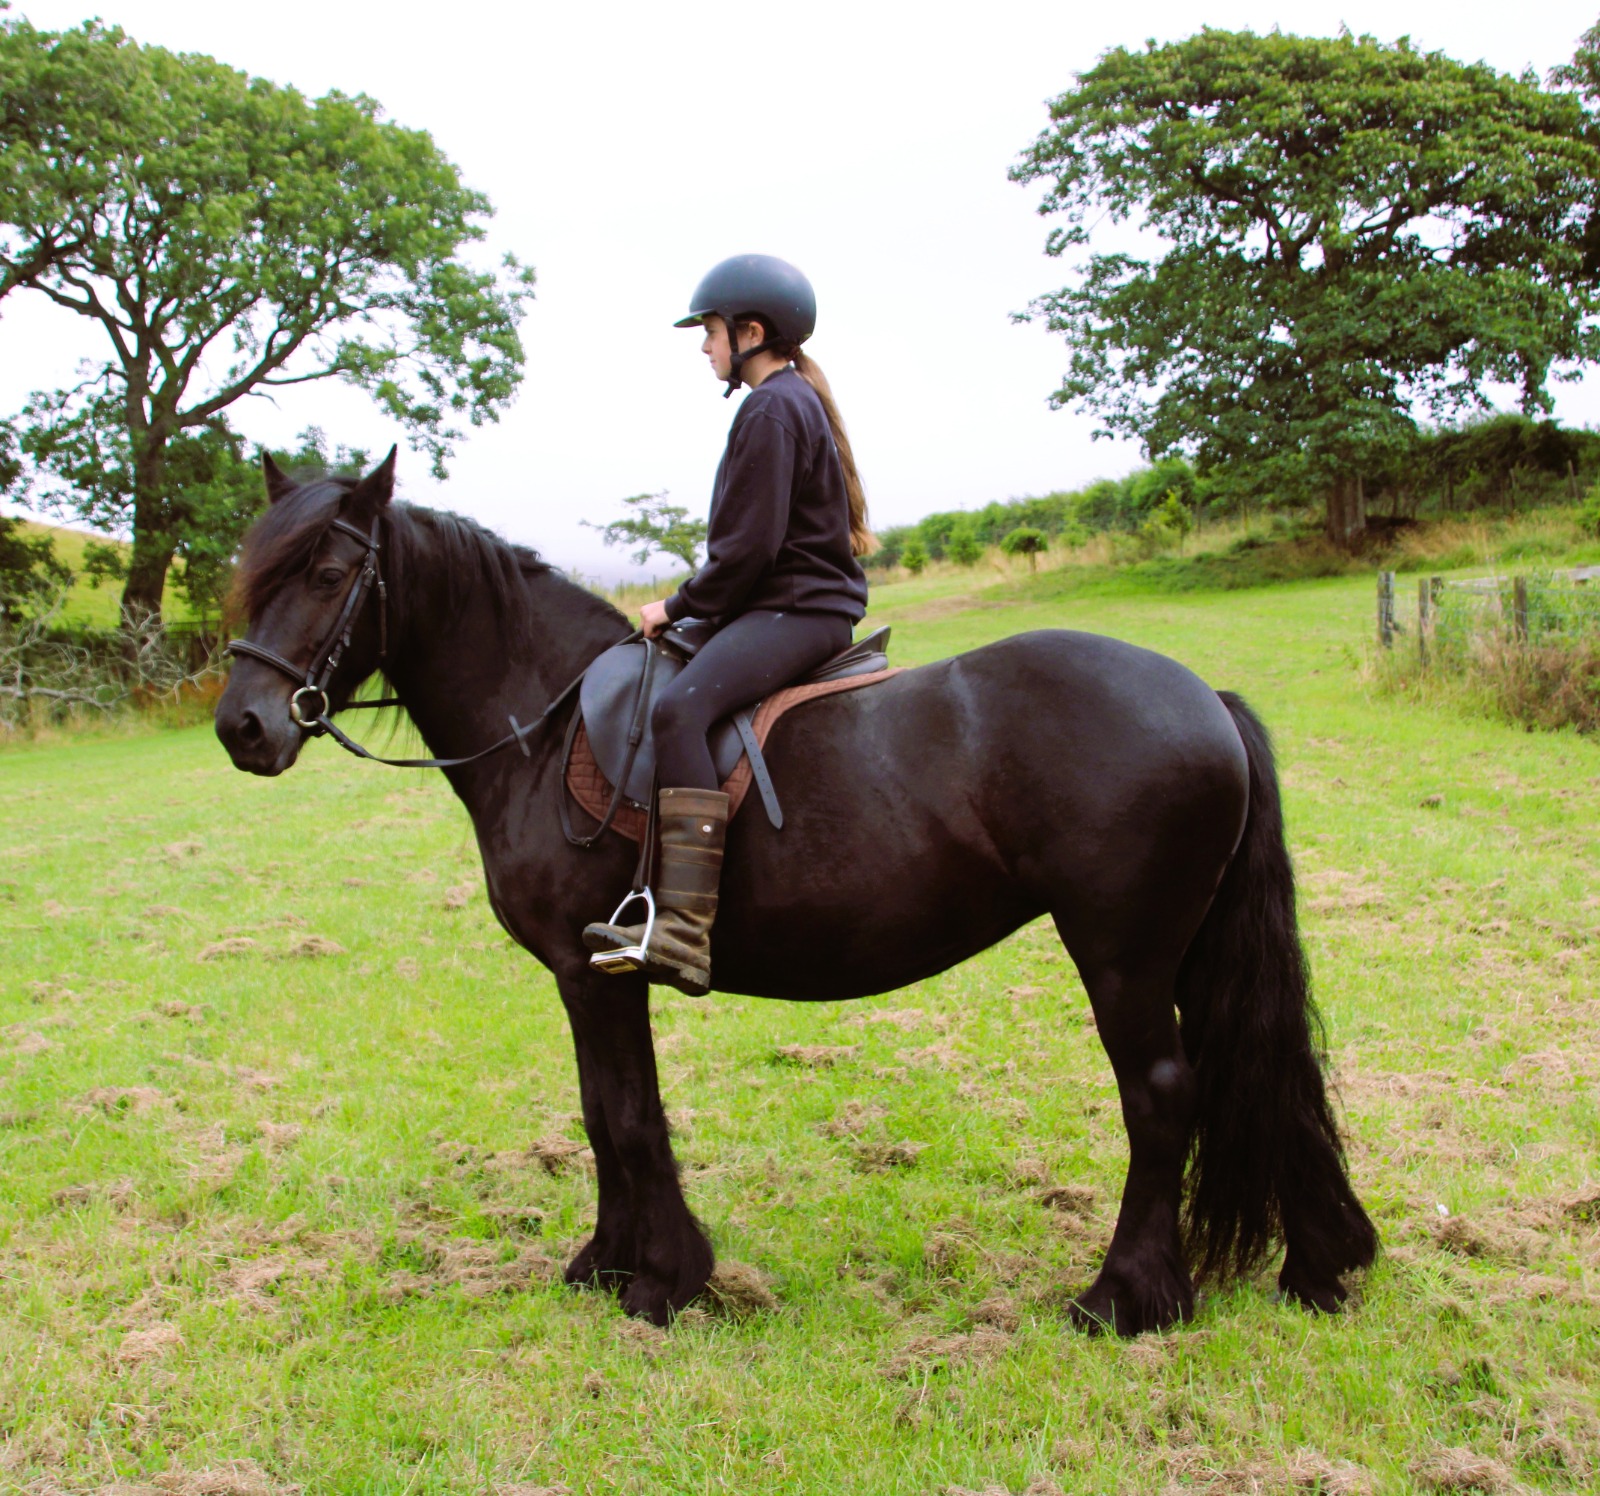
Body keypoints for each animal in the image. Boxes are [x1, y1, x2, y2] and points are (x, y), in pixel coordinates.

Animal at [213, 452, 1377, 1334]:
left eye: (328, 569)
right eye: (253, 572)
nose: (243, 727)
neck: (544, 723)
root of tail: (1202, 696)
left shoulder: (593, 973)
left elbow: (622, 1112)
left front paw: (660, 1281)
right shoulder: (595, 973)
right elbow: (605, 1110)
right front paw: (606, 1262)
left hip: (1123, 954)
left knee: (1163, 1093)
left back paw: (1124, 1297)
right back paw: (1315, 1260)